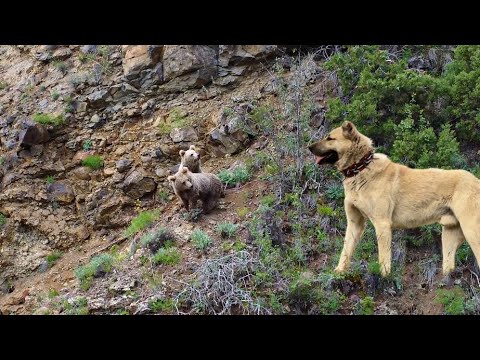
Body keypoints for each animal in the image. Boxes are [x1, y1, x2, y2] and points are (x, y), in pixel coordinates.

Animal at [308, 122, 480, 278]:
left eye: (330, 138)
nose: (309, 147)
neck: (361, 168)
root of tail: (476, 180)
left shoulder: (382, 223)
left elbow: (383, 256)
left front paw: (384, 276)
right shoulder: (355, 223)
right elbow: (346, 249)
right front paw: (339, 271)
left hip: (471, 230)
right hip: (449, 234)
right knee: (448, 265)